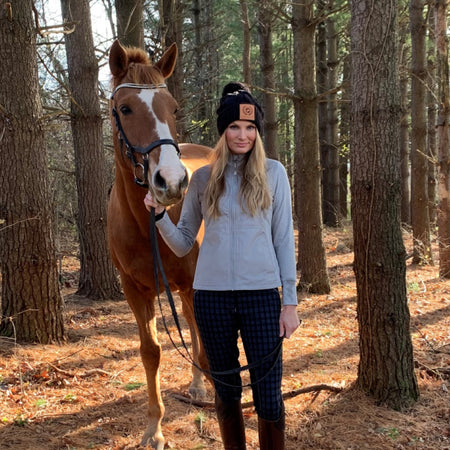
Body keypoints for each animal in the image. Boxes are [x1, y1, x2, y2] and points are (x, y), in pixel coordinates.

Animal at [107, 39, 211, 449]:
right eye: (125, 108)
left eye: (174, 108)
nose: (171, 181)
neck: (143, 226)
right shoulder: (134, 291)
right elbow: (150, 352)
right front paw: (154, 427)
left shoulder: (193, 281)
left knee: (196, 324)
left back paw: (202, 382)